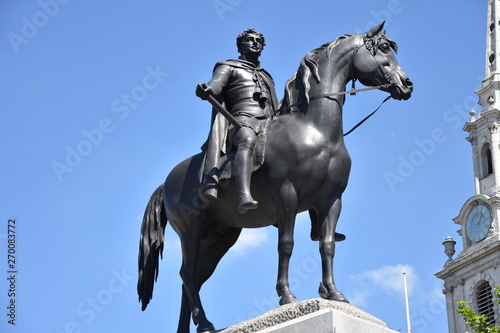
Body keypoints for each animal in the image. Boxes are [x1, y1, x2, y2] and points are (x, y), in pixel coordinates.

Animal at [139, 21, 412, 332]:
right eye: (383, 48)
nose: (407, 84)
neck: (316, 131)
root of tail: (165, 182)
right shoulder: (287, 195)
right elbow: (286, 245)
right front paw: (287, 296)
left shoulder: (331, 201)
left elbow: (327, 245)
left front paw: (334, 293)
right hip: (191, 231)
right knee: (187, 273)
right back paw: (206, 322)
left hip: (219, 237)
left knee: (194, 278)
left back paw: (195, 326)